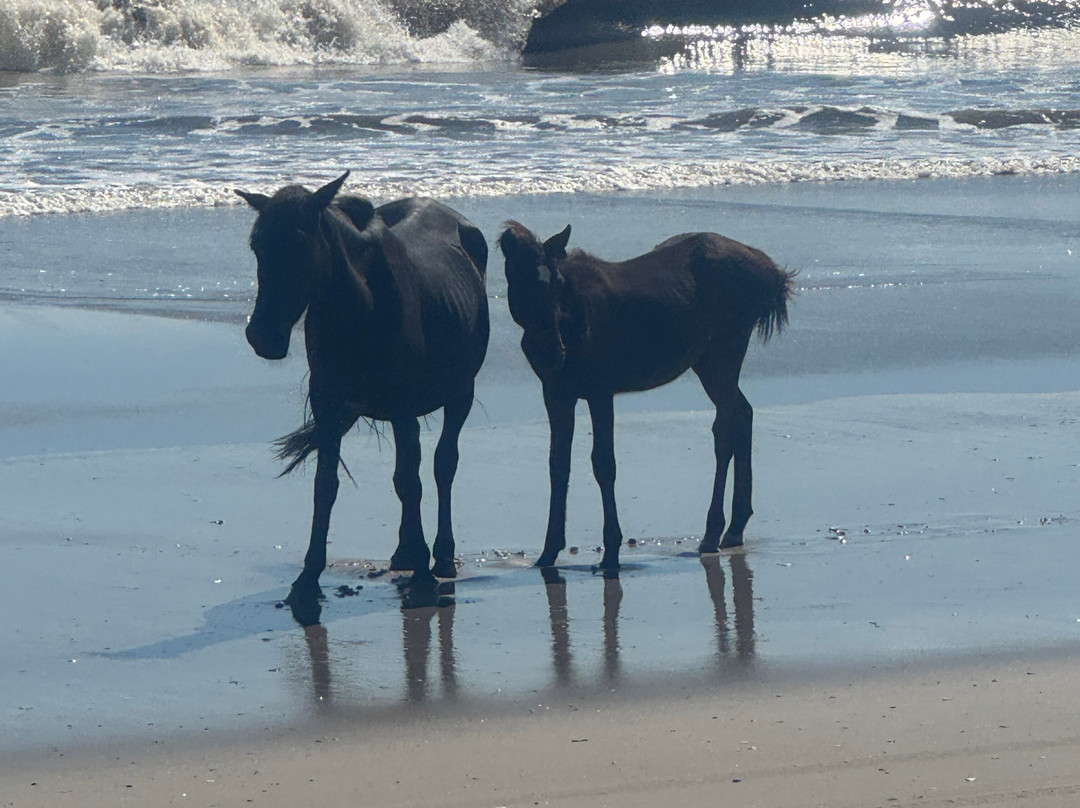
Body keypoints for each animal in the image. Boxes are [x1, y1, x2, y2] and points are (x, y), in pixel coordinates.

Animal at [236, 172, 489, 600]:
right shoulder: (327, 404)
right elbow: (327, 485)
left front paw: (423, 573)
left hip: (460, 393)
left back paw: (439, 555)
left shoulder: (404, 404)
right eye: (258, 246)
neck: (360, 308)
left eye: (301, 244)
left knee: (443, 465)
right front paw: (308, 578)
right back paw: (407, 551)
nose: (263, 336)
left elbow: (414, 479)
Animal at [499, 221, 794, 570]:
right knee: (738, 416)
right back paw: (732, 526)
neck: (573, 321)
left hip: (724, 352)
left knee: (729, 423)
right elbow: (558, 465)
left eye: (556, 282)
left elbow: (604, 464)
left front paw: (611, 551)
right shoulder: (557, 393)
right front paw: (548, 551)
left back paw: (716, 531)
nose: (551, 353)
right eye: (520, 281)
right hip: (707, 361)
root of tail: (769, 271)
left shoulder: (600, 391)